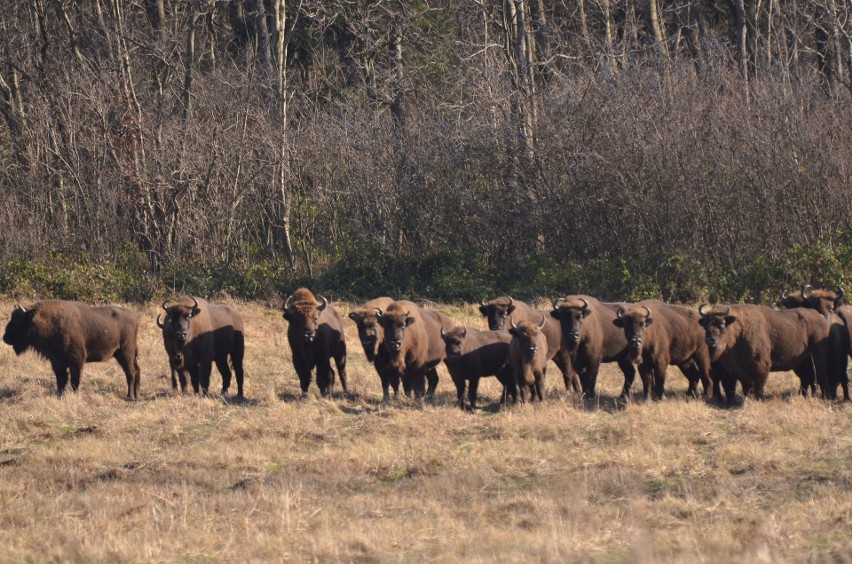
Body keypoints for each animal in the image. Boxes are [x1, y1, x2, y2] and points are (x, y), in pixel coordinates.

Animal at [3, 300, 140, 400]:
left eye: (17, 321)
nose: (4, 337)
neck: (50, 321)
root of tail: (135, 317)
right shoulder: (57, 362)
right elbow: (61, 380)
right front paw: (59, 395)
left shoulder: (76, 360)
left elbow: (74, 380)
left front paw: (74, 394)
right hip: (124, 354)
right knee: (137, 370)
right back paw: (136, 395)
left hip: (125, 353)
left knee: (130, 373)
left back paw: (130, 397)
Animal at [696, 302, 828, 404]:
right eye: (705, 325)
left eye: (722, 324)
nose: (710, 339)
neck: (737, 329)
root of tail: (820, 317)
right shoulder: (740, 370)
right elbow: (746, 386)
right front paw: (747, 399)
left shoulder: (761, 365)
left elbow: (758, 386)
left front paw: (759, 400)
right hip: (802, 362)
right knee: (807, 378)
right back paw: (804, 396)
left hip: (817, 357)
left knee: (818, 376)